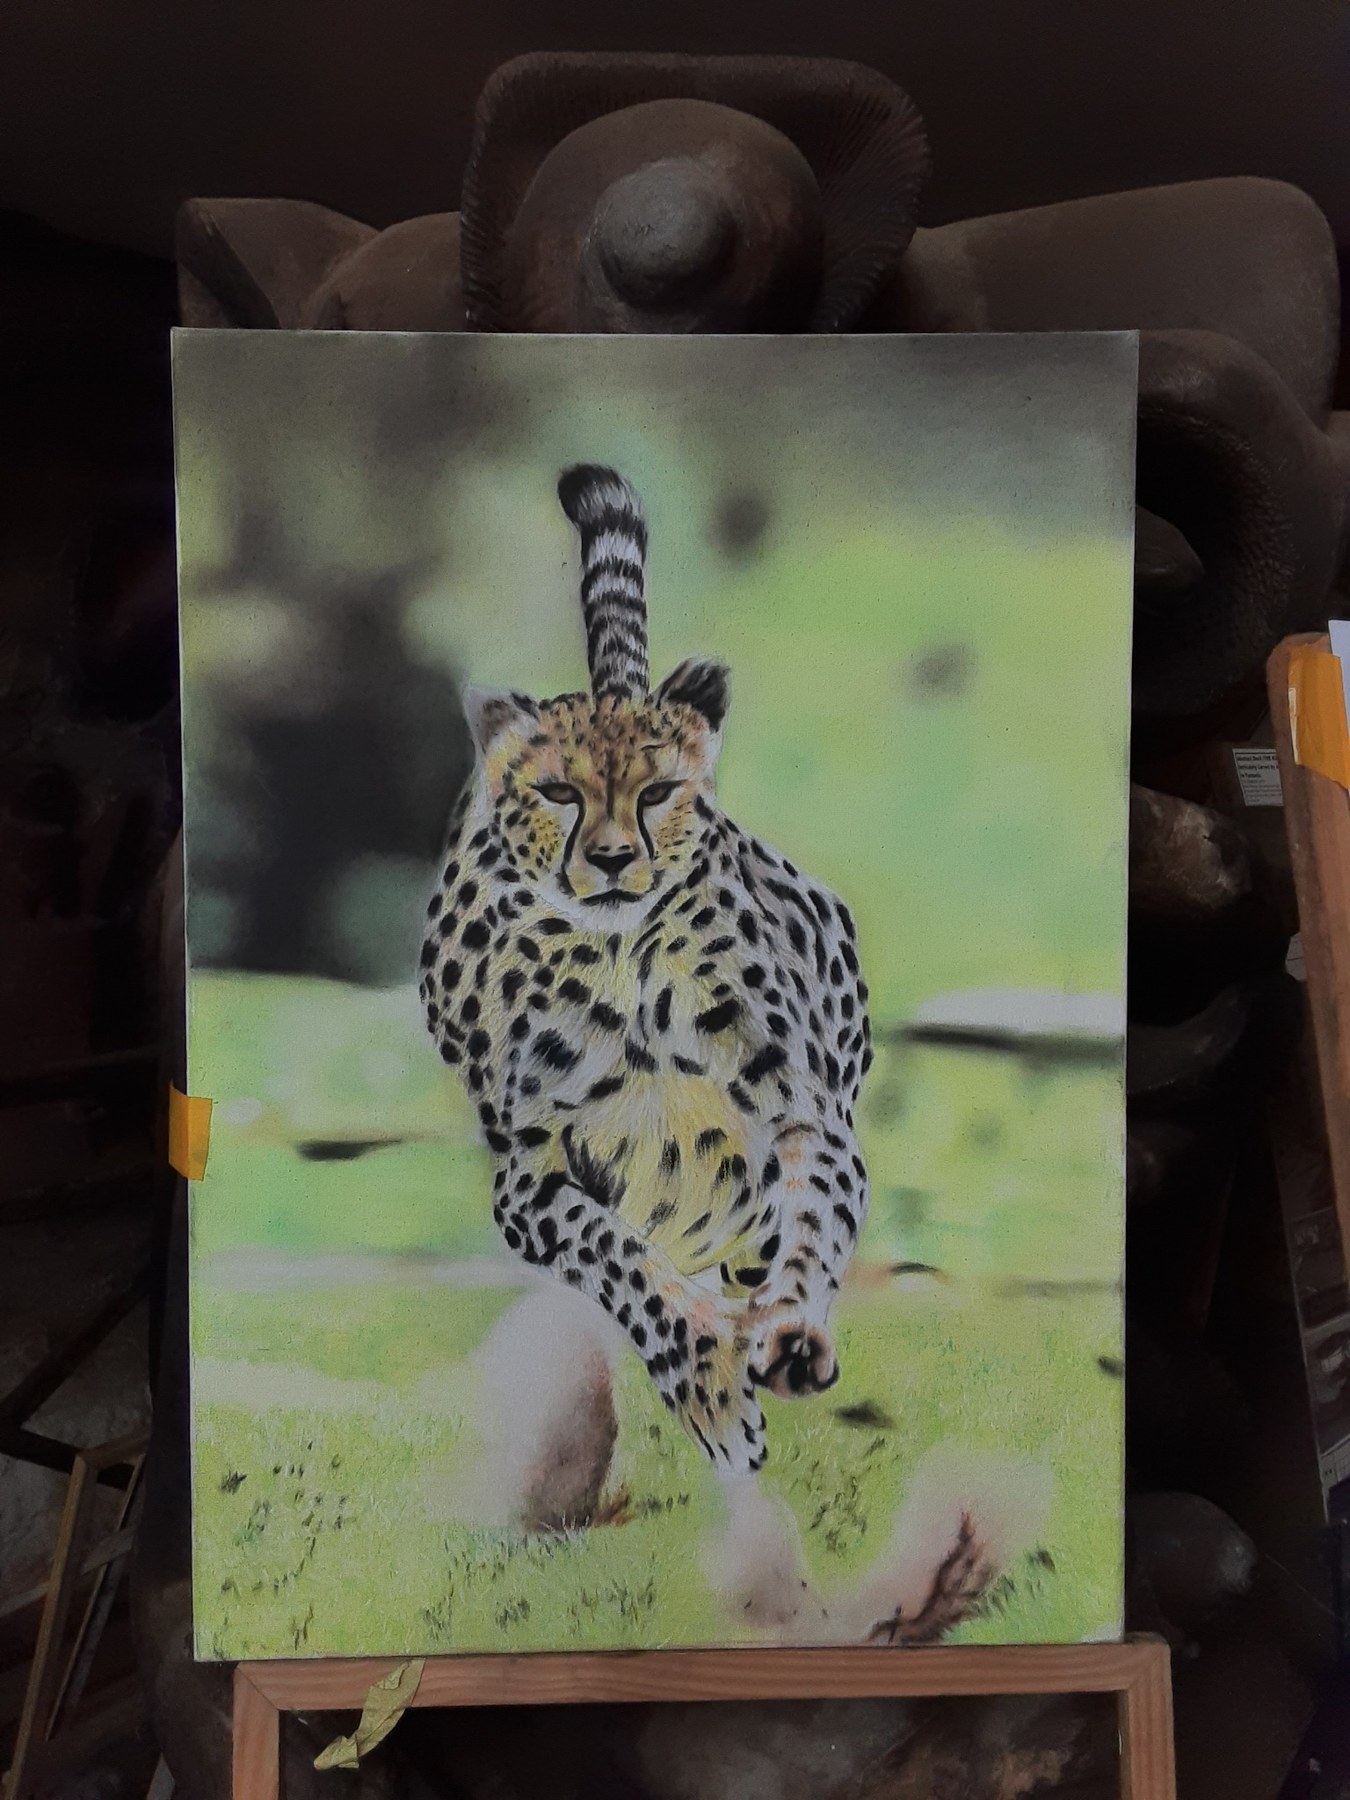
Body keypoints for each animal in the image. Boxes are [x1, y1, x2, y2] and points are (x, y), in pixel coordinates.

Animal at [420, 464, 872, 1477]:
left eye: (659, 791)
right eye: (558, 792)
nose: (617, 858)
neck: (624, 967)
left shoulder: (809, 1122)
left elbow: (809, 1224)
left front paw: (788, 1332)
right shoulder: (530, 1179)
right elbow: (619, 1260)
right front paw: (709, 1383)